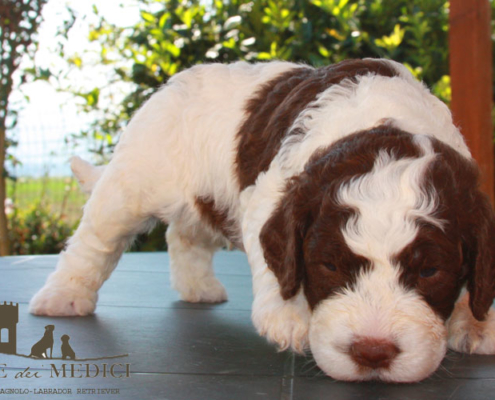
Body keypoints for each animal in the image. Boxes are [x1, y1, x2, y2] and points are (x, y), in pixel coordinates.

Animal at [29, 58, 495, 382]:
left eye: (430, 271)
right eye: (329, 266)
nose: (373, 352)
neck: (384, 128)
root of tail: (173, 83)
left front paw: (477, 322)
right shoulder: (270, 196)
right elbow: (276, 264)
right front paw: (289, 316)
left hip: (207, 198)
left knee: (186, 234)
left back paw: (197, 288)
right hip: (136, 178)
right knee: (97, 237)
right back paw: (65, 296)